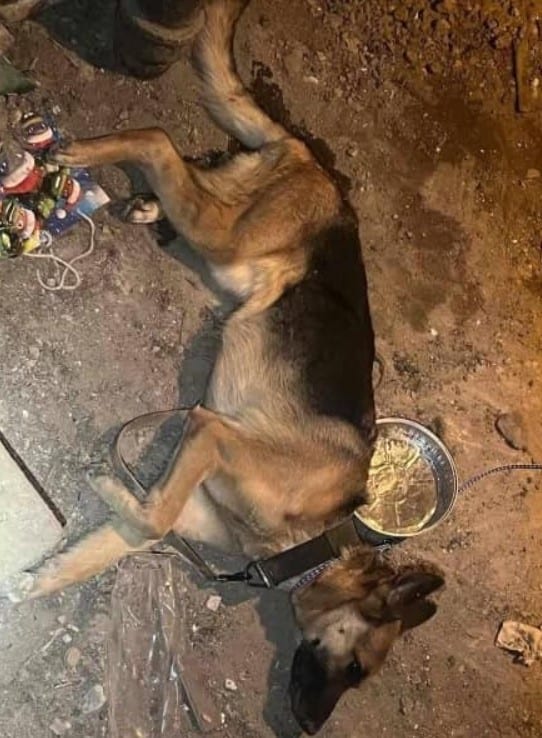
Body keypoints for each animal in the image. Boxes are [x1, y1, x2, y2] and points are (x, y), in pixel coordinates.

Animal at [15, 1, 446, 732]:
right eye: (356, 669)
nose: (309, 727)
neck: (315, 536)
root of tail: (319, 170)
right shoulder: (211, 432)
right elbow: (148, 517)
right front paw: (104, 486)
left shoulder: (191, 490)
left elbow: (125, 532)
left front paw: (35, 582)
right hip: (227, 237)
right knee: (158, 138)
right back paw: (87, 155)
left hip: (228, 251)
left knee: (188, 166)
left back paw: (144, 204)